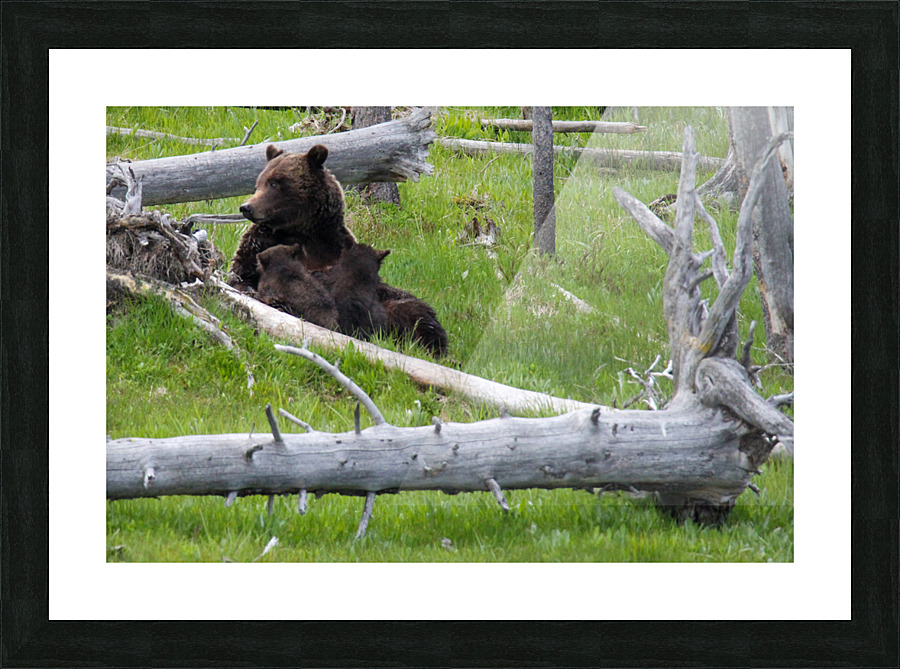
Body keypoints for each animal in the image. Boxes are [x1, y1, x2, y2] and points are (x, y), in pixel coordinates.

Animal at [229, 143, 356, 291]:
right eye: (258, 184)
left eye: (273, 183)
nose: (246, 207)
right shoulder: (257, 245)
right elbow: (240, 276)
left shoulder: (335, 246)